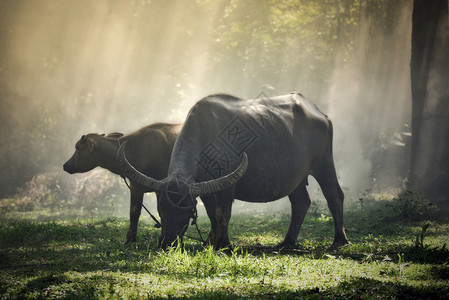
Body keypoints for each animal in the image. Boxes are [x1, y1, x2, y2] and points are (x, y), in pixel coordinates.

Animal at [117, 94, 348, 248]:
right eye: (161, 208)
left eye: (185, 209)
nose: (167, 242)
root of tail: (320, 113)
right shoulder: (204, 187)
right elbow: (212, 213)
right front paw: (210, 241)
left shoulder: (228, 185)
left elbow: (223, 212)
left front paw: (223, 243)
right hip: (295, 177)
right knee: (301, 202)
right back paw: (287, 241)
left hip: (324, 164)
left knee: (334, 195)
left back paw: (339, 240)